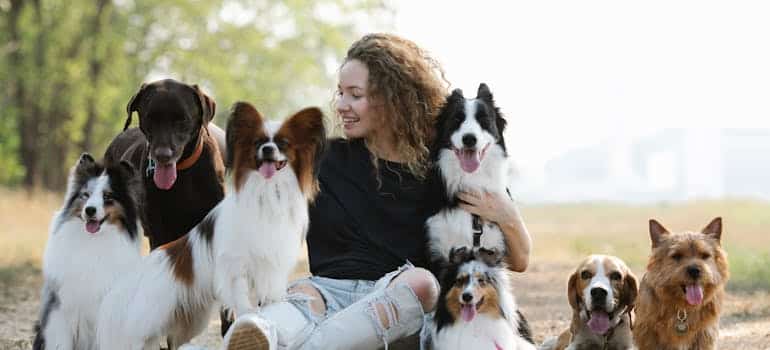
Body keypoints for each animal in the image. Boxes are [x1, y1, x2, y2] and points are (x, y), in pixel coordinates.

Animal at [96, 103, 324, 350]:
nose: (268, 150)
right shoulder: (236, 264)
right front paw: (249, 319)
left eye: (283, 143)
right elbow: (242, 300)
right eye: (258, 143)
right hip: (148, 322)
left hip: (191, 319)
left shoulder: (273, 263)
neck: (268, 190)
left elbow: (272, 297)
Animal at [426, 84, 510, 266]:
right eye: (457, 119)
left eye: (484, 120)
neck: (470, 179)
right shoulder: (439, 247)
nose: (469, 139)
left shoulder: (493, 247)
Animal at [632, 217, 728, 348]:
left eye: (704, 255)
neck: (683, 308)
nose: (694, 270)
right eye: (677, 255)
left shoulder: (704, 334)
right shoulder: (648, 334)